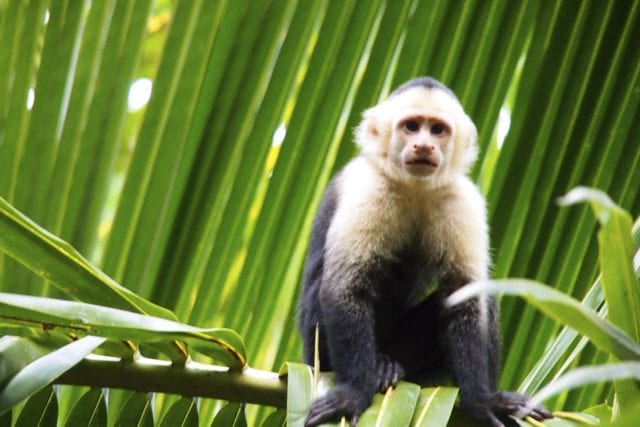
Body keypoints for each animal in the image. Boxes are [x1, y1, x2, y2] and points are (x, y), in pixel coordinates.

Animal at [298, 77, 552, 427]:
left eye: (437, 130)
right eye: (411, 126)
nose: (423, 146)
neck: (414, 187)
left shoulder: (461, 198)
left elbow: (465, 296)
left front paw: (482, 400)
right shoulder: (369, 188)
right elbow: (344, 287)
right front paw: (355, 392)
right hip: (315, 349)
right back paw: (381, 366)